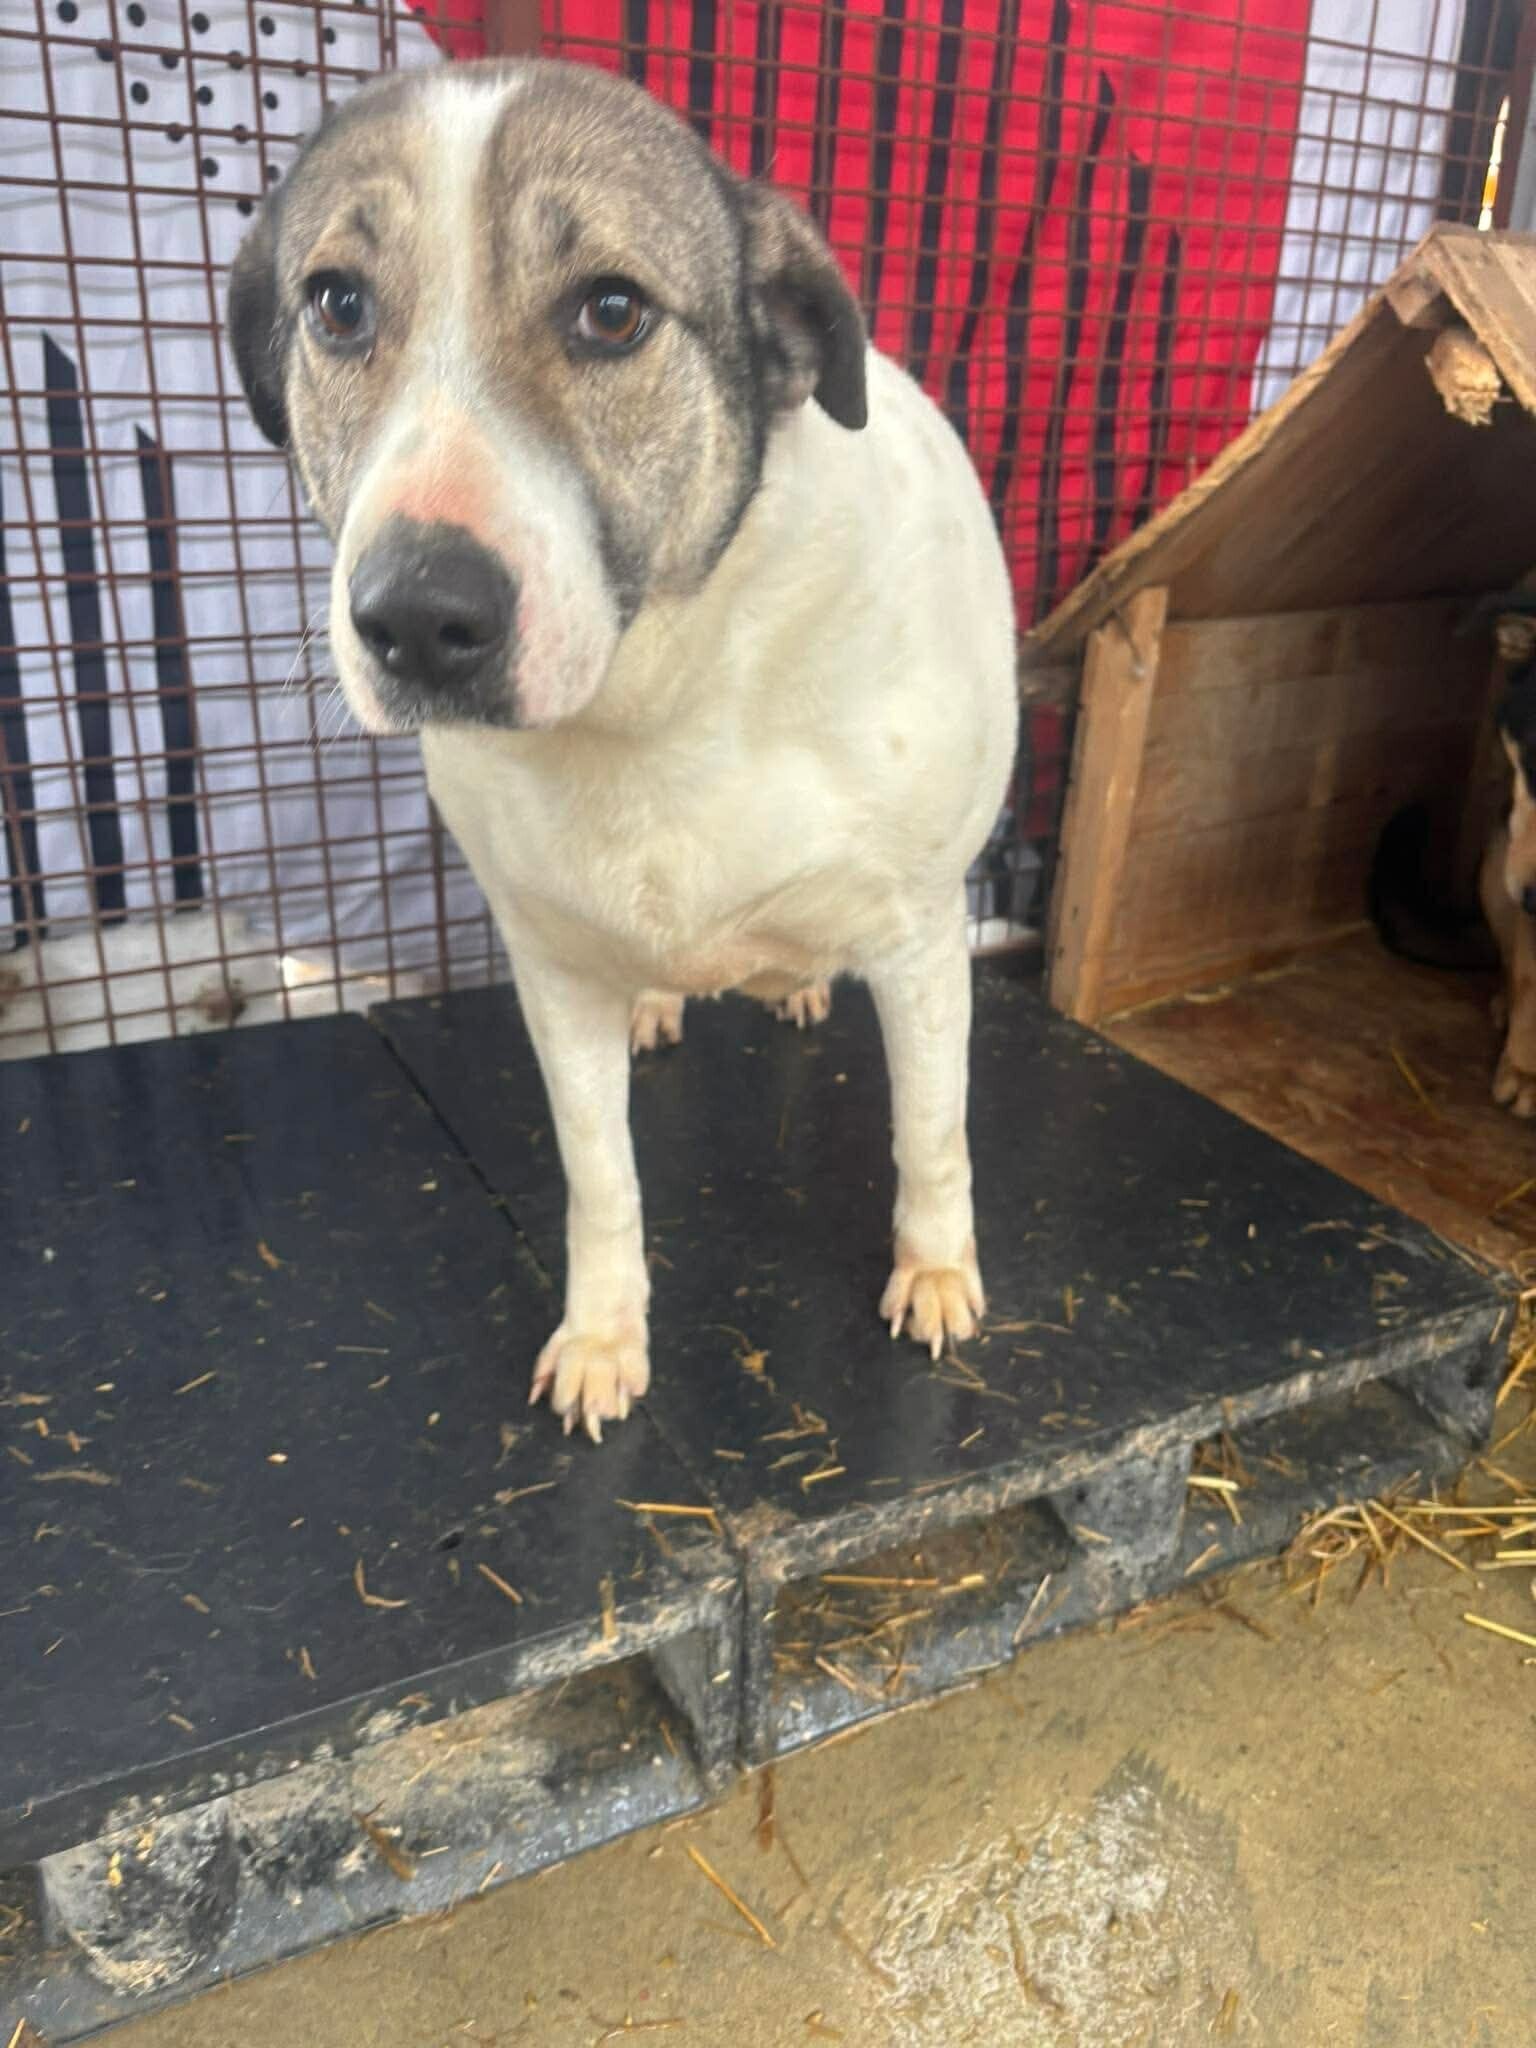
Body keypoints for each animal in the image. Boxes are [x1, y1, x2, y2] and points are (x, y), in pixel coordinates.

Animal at [227, 58, 1018, 1439]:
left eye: (611, 311)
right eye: (336, 304)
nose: (420, 619)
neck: (653, 704)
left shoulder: (922, 940)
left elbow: (932, 1132)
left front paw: (933, 1271)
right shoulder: (550, 971)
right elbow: (602, 1179)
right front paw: (604, 1334)